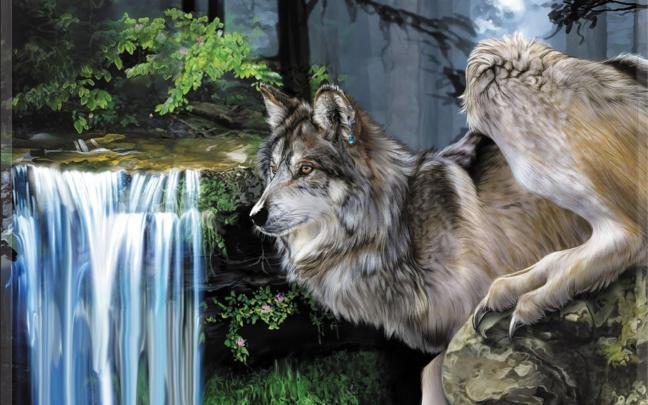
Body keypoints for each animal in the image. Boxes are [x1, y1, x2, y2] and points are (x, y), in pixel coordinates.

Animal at [251, 37, 646, 403]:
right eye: (273, 170)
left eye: (305, 169)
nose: (255, 215)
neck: (397, 223)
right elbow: (429, 378)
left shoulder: (453, 329)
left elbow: (433, 375)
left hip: (492, 64)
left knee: (631, 235)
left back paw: (528, 293)